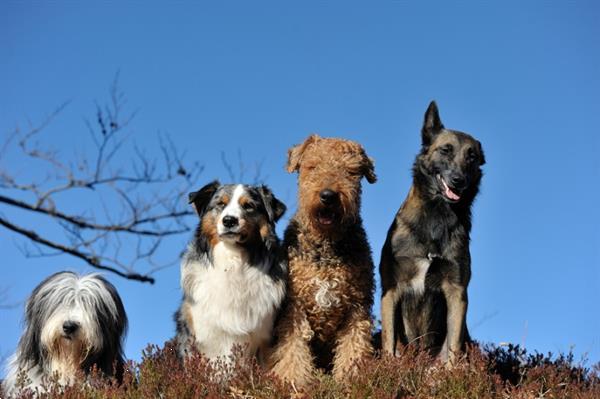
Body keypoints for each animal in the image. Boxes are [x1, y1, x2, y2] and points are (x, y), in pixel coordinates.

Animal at [175, 181, 288, 366]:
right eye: (221, 204)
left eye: (248, 206)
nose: (229, 221)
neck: (232, 259)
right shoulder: (201, 336)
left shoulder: (265, 338)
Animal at [382, 101, 486, 366]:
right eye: (445, 150)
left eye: (471, 157)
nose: (458, 180)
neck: (436, 218)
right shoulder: (391, 290)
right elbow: (388, 342)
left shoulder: (457, 292)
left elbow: (454, 345)